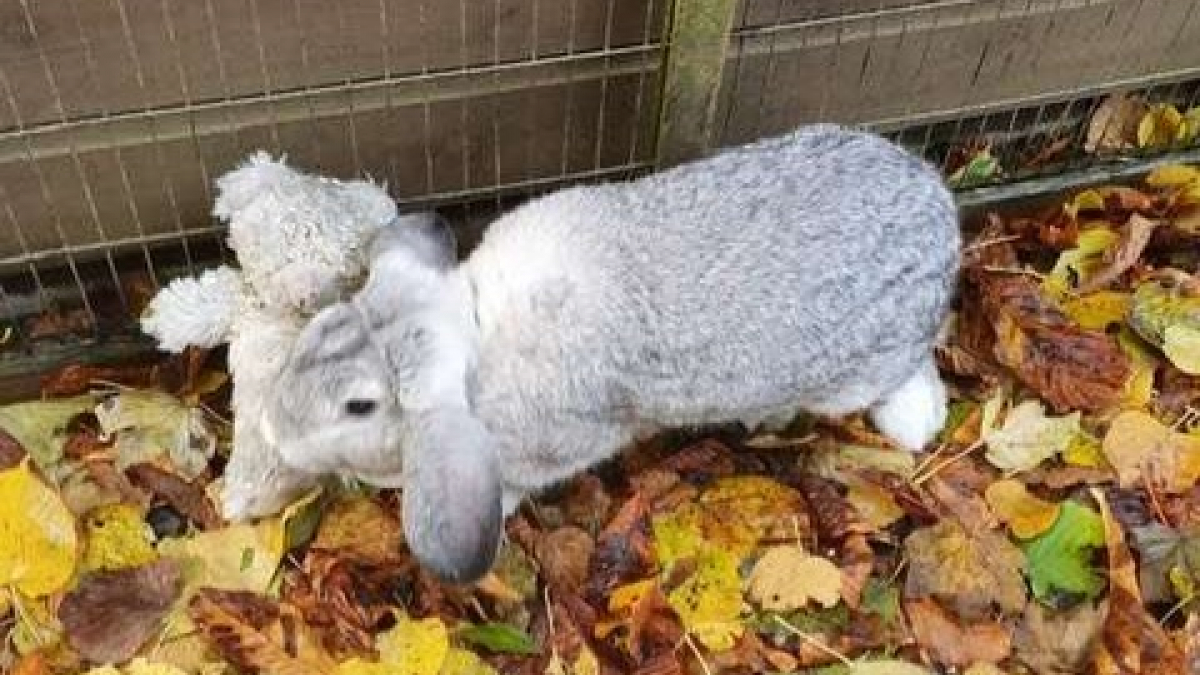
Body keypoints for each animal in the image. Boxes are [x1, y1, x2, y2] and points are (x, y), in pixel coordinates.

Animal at [258, 123, 960, 581]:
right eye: (323, 325)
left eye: (359, 406)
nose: (272, 427)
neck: (478, 330)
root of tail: (943, 214)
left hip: (861, 371)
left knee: (912, 365)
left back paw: (910, 420)